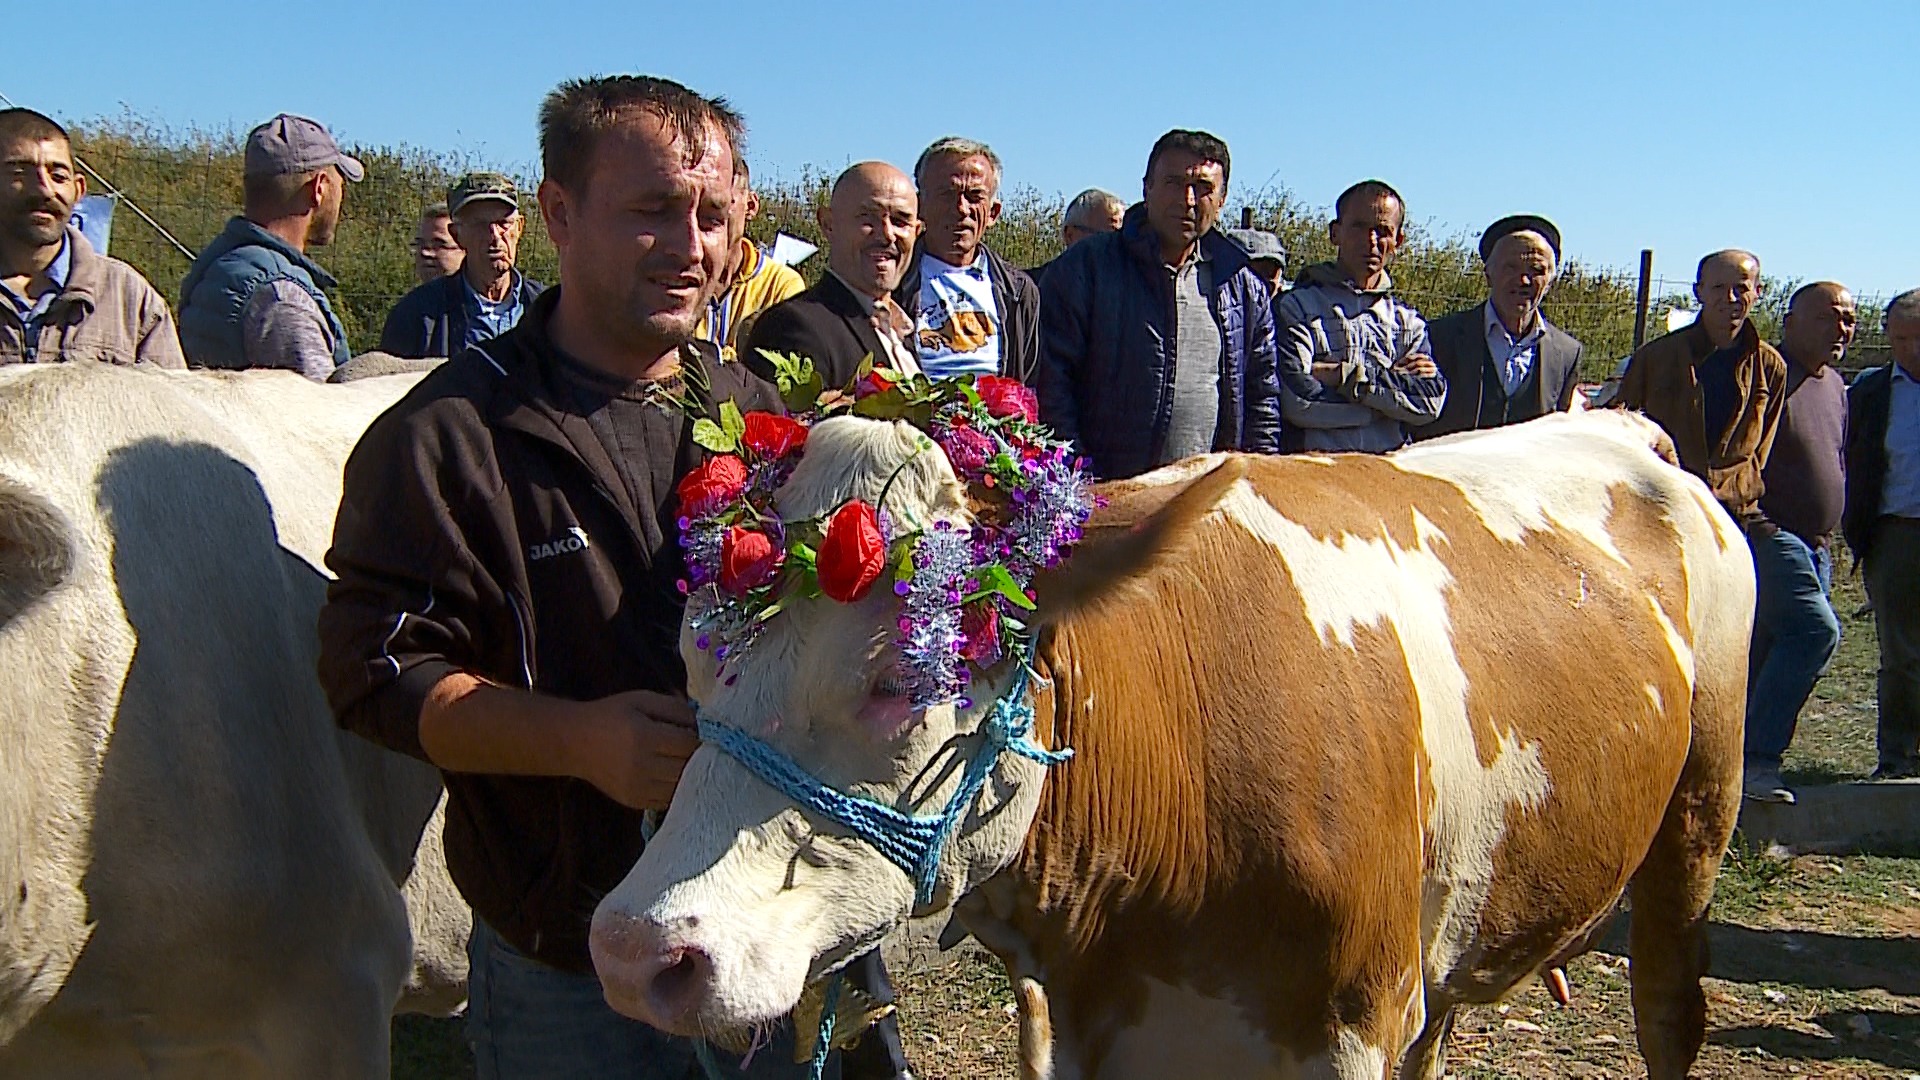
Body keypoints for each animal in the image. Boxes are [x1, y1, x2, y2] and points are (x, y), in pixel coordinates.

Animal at [591, 407, 1751, 1068]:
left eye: (898, 678)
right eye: (691, 654)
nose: (637, 951)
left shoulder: (1352, 1024)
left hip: (1702, 810)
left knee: (1669, 1010)